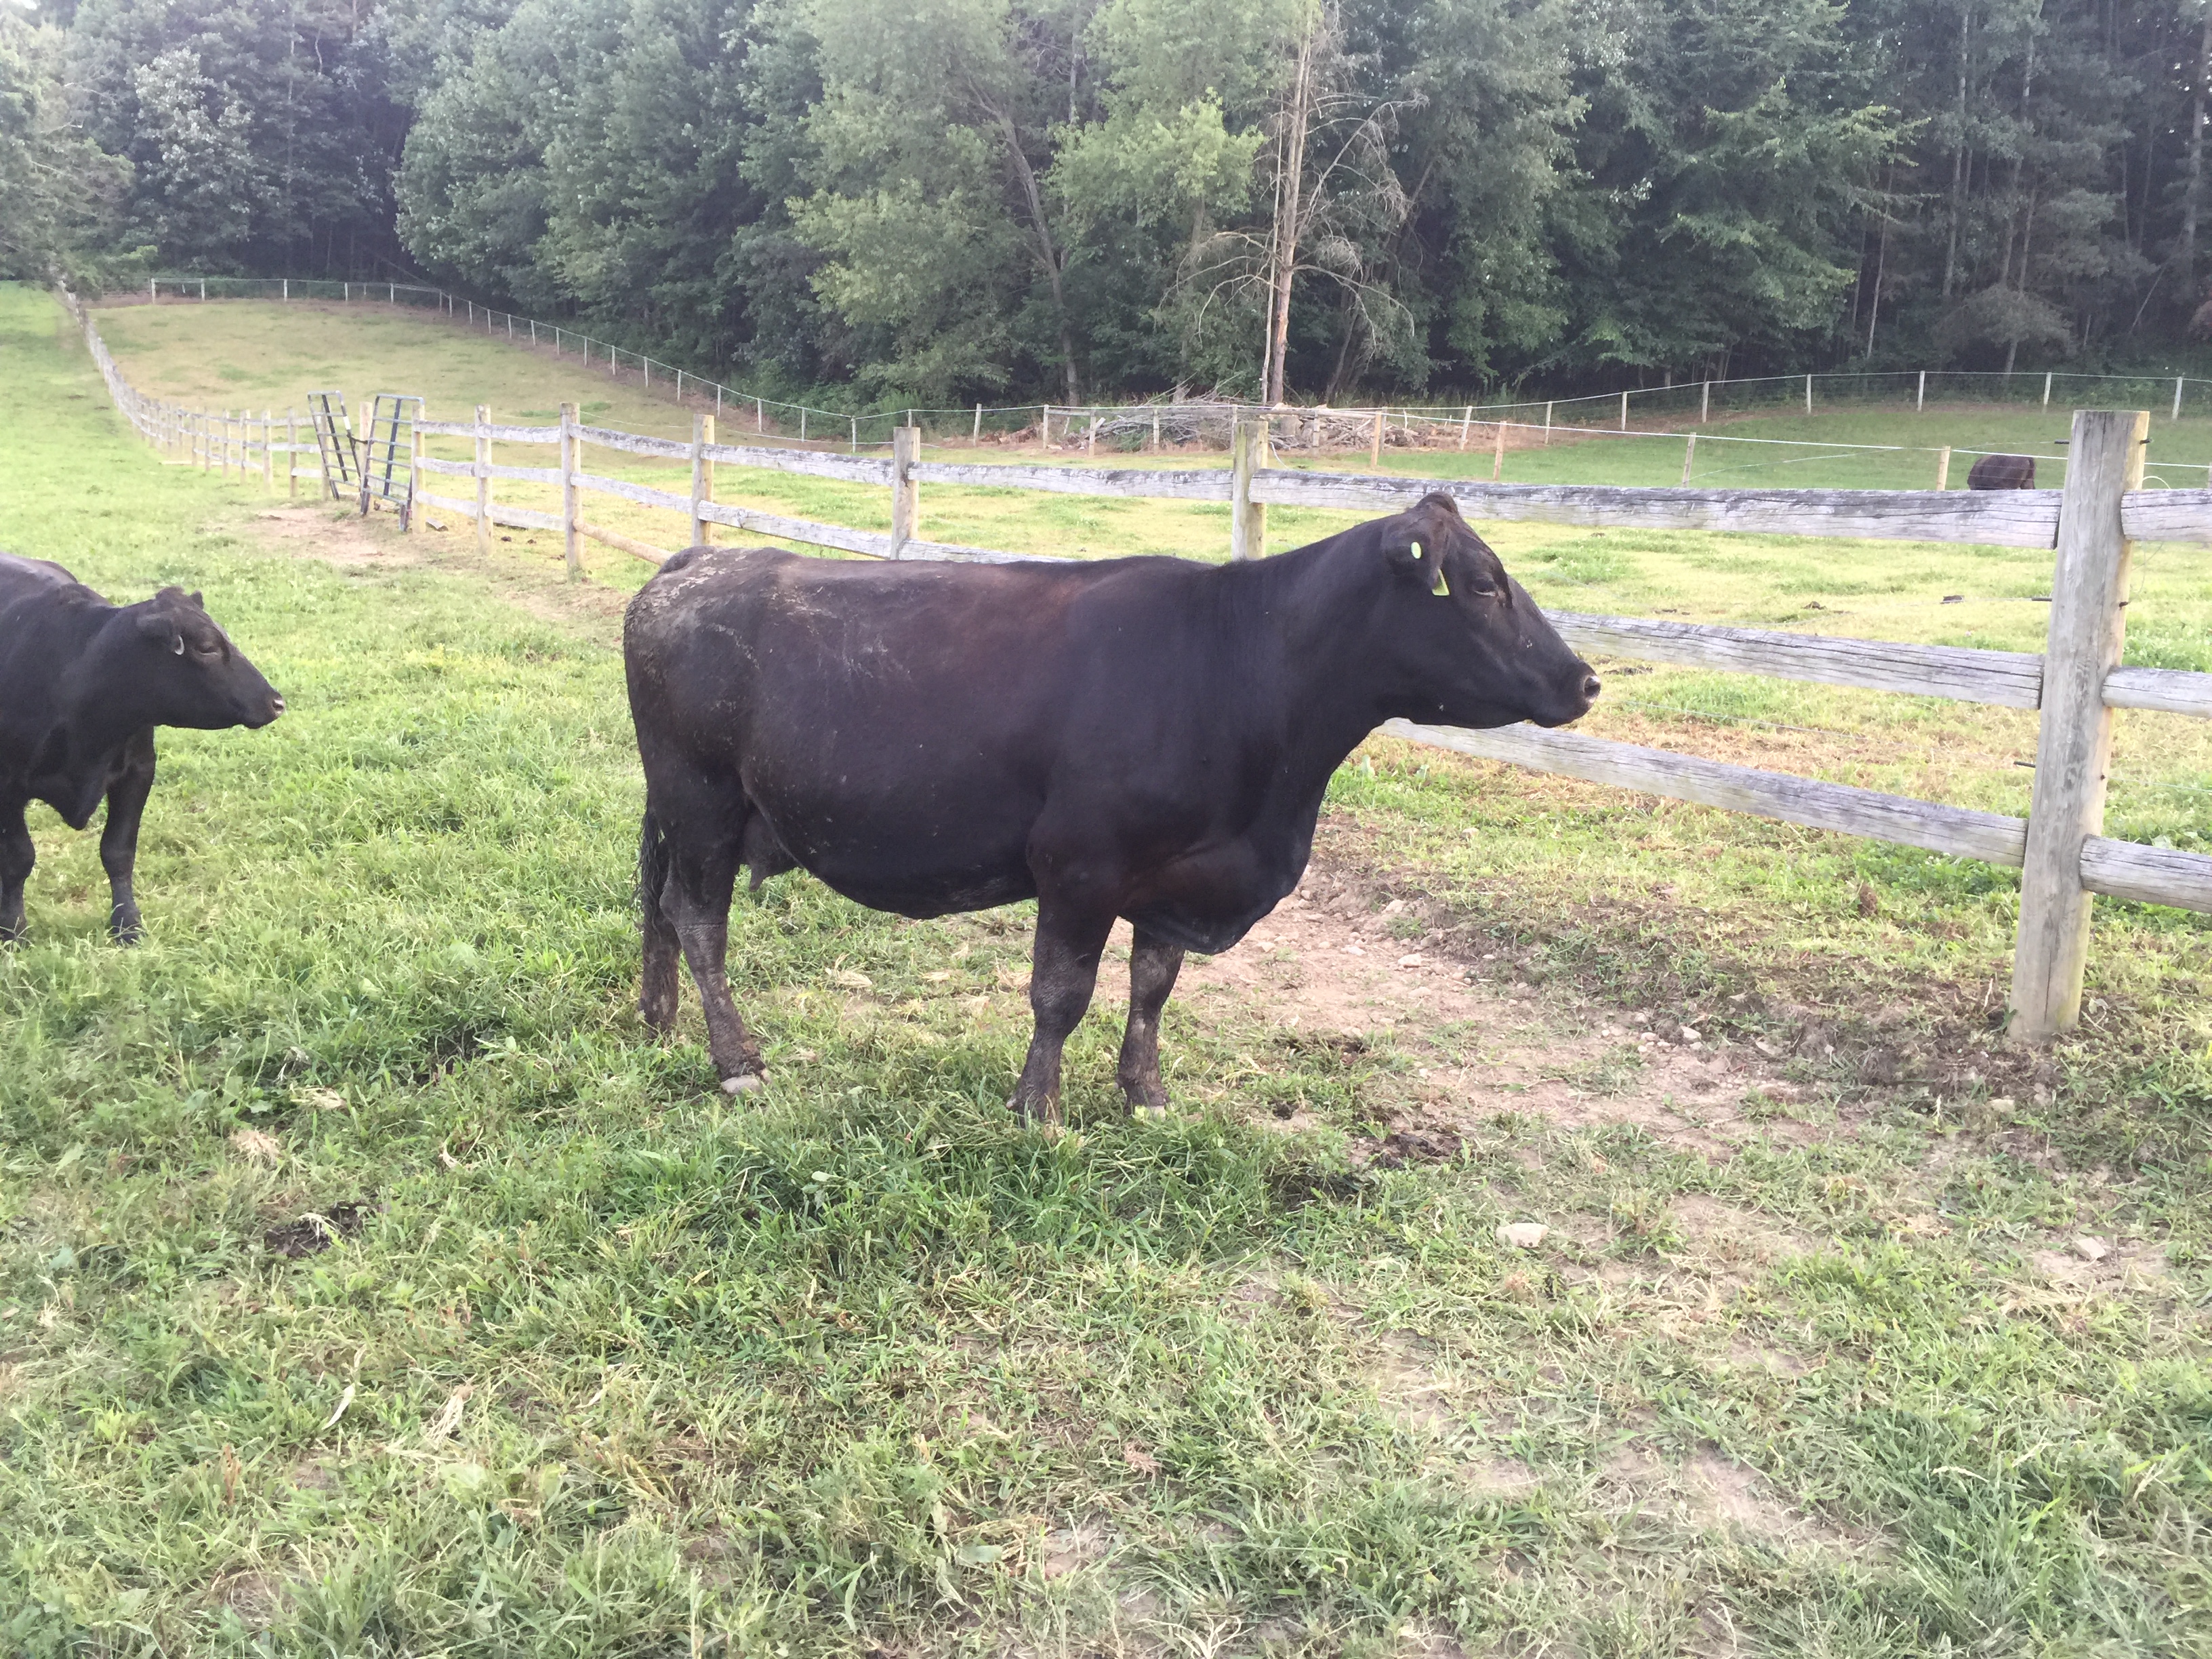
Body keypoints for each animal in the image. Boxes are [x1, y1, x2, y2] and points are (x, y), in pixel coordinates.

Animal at [0, 554, 285, 944]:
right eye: (206, 647)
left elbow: (118, 851)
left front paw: (127, 925)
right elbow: (18, 858)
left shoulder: (138, 771)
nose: (277, 702)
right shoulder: (7, 786)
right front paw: (14, 931)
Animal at [623, 492, 1599, 1125]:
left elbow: (1152, 988)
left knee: (661, 911)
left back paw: (661, 1022)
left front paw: (1146, 1094)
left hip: (686, 808)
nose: (1586, 680)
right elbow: (1061, 994)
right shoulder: (1079, 865)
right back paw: (736, 1061)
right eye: (1482, 584)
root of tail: (702, 559)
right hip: (700, 798)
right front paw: (1038, 1108)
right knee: (698, 920)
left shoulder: (1174, 877)